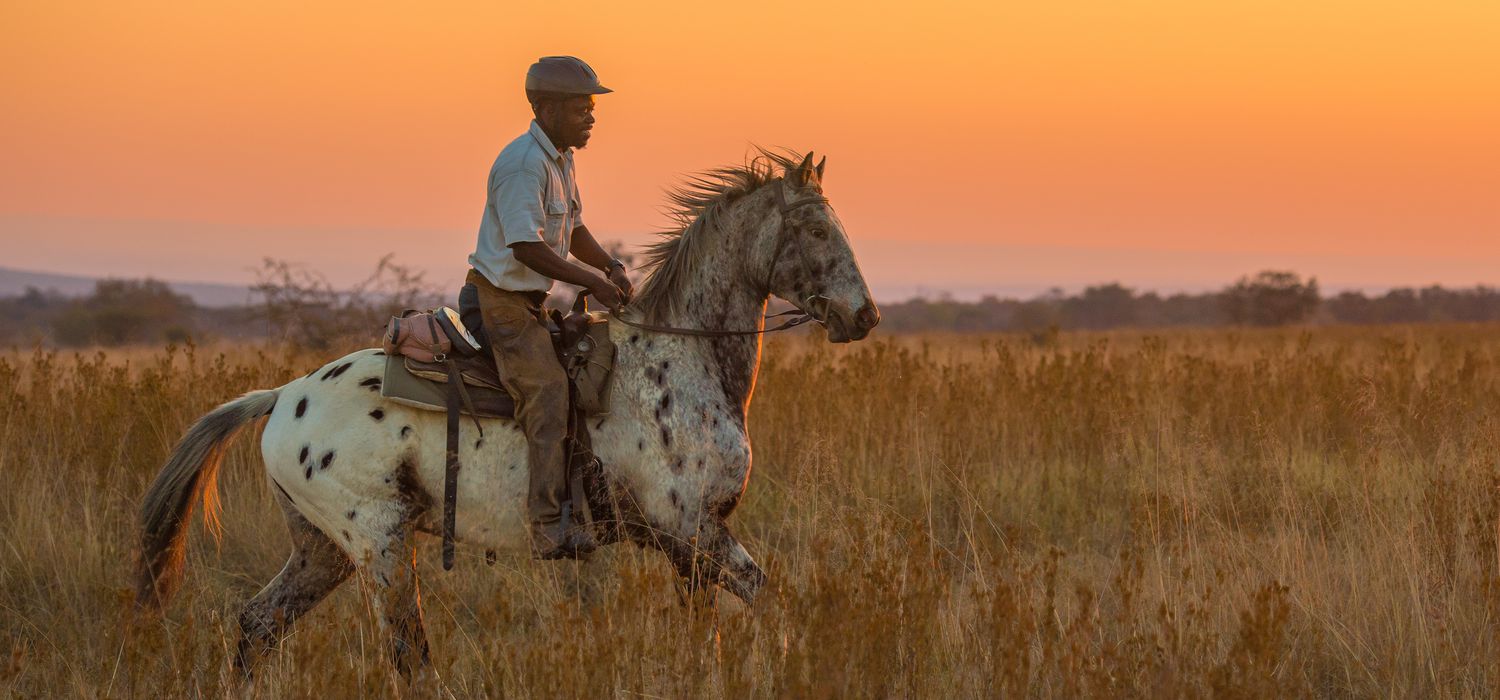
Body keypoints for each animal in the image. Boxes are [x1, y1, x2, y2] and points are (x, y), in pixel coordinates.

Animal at [132, 149, 876, 680]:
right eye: (816, 228)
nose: (863, 316)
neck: (679, 359)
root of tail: (284, 395)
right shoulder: (692, 531)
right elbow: (770, 600)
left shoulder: (688, 545)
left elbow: (711, 636)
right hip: (378, 542)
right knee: (407, 655)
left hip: (321, 550)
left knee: (257, 627)